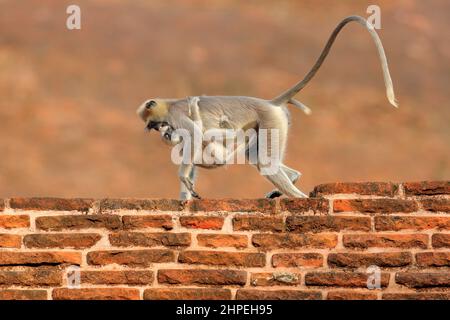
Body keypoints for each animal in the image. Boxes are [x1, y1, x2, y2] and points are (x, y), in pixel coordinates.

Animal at [136, 15, 398, 200]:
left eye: (155, 124)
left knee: (263, 162)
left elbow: (196, 135)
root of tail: (270, 103)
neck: (170, 103)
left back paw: (298, 197)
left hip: (271, 119)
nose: (161, 132)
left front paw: (184, 181)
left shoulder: (176, 115)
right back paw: (292, 179)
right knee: (256, 156)